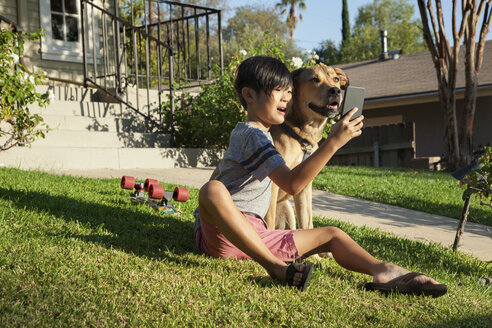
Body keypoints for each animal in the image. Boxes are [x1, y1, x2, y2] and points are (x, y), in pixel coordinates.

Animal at [266, 62, 350, 231]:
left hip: (287, 212)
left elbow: (307, 224)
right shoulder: (272, 186)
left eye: (336, 79)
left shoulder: (303, 188)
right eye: (314, 79)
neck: (302, 137)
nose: (336, 90)